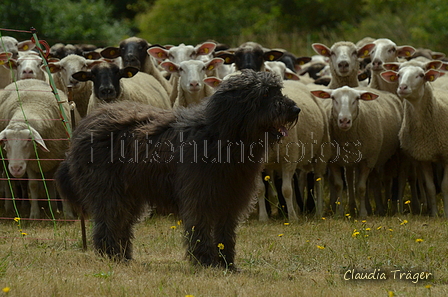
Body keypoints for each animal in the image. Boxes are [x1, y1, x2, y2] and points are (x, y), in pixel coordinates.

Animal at [0, 78, 77, 217]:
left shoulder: (59, 157)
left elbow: (58, 183)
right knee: (7, 179)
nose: (16, 169)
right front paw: (34, 214)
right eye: (6, 143)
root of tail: (28, 79)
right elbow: (33, 185)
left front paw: (68, 213)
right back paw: (9, 206)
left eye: (28, 142)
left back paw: (54, 208)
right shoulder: (31, 162)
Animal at [56, 69, 300, 268]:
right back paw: (111, 256)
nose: (295, 109)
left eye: (278, 90)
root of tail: (84, 126)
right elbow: (200, 227)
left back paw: (124, 256)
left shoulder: (230, 198)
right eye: (265, 94)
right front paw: (205, 261)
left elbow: (225, 233)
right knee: (108, 222)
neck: (221, 137)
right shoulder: (200, 195)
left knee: (121, 224)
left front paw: (227, 263)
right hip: (108, 190)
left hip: (130, 193)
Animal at [312, 84, 402, 216]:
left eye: (356, 99)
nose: (344, 121)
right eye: (333, 98)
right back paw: (353, 207)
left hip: (384, 157)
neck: (347, 138)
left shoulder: (367, 160)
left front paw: (363, 213)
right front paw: (339, 213)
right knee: (350, 179)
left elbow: (361, 187)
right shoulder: (333, 160)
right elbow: (339, 185)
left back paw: (381, 208)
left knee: (378, 180)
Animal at [380, 61, 448, 216]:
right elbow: (430, 187)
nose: (402, 87)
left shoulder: (447, 156)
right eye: (399, 74)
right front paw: (434, 214)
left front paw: (446, 213)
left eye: (421, 75)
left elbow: (445, 186)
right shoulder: (423, 156)